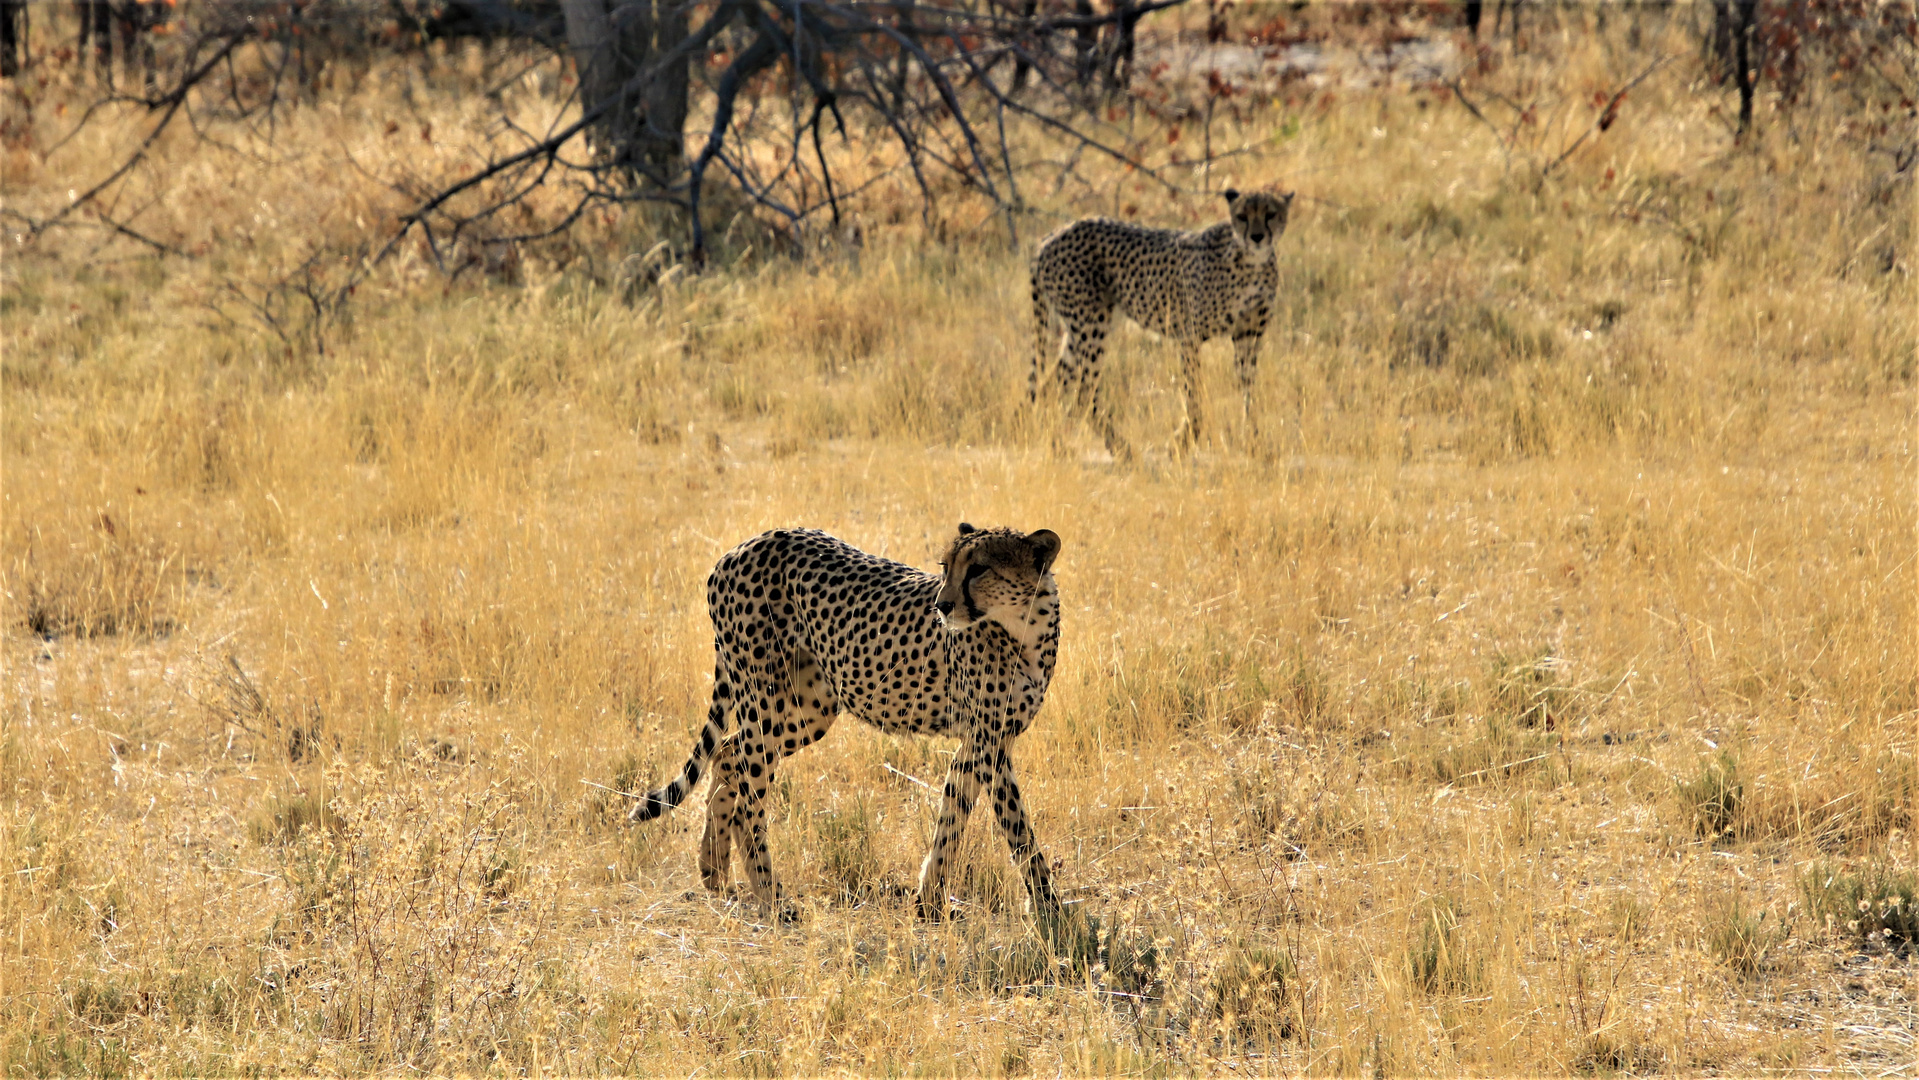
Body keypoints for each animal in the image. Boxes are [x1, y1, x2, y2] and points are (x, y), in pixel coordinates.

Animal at [629, 525, 1066, 920]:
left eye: (978, 569)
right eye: (947, 566)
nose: (942, 606)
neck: (1024, 625)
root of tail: (745, 544)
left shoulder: (986, 741)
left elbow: (959, 815)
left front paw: (931, 901)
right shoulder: (987, 741)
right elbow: (1013, 825)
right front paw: (1048, 908)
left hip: (809, 710)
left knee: (726, 751)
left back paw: (713, 869)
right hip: (765, 699)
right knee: (747, 801)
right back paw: (772, 898)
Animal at [1028, 187, 1297, 456]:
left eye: (1270, 214)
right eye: (1242, 216)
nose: (1257, 237)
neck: (1252, 262)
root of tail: (1049, 238)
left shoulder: (1248, 335)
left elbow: (1248, 391)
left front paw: (1254, 441)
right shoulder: (1190, 336)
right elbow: (1194, 393)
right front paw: (1183, 441)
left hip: (1080, 331)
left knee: (1050, 388)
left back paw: (1058, 446)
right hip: (1091, 325)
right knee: (1082, 395)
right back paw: (1121, 448)